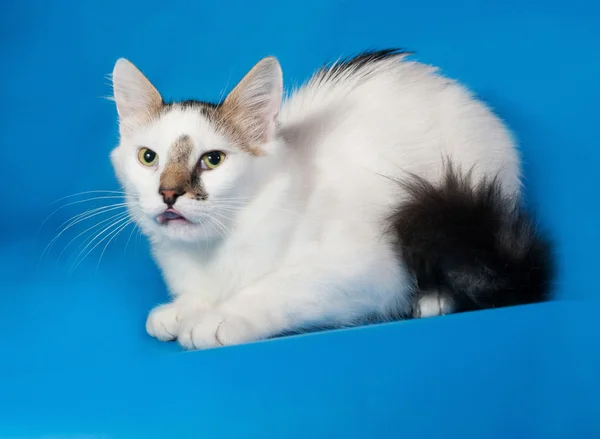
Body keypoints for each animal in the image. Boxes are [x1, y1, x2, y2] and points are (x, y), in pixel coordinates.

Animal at [109, 49, 552, 350]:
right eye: (148, 157)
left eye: (213, 160)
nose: (168, 194)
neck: (214, 249)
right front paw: (184, 308)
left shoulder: (364, 269)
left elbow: (279, 288)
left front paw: (220, 318)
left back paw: (434, 299)